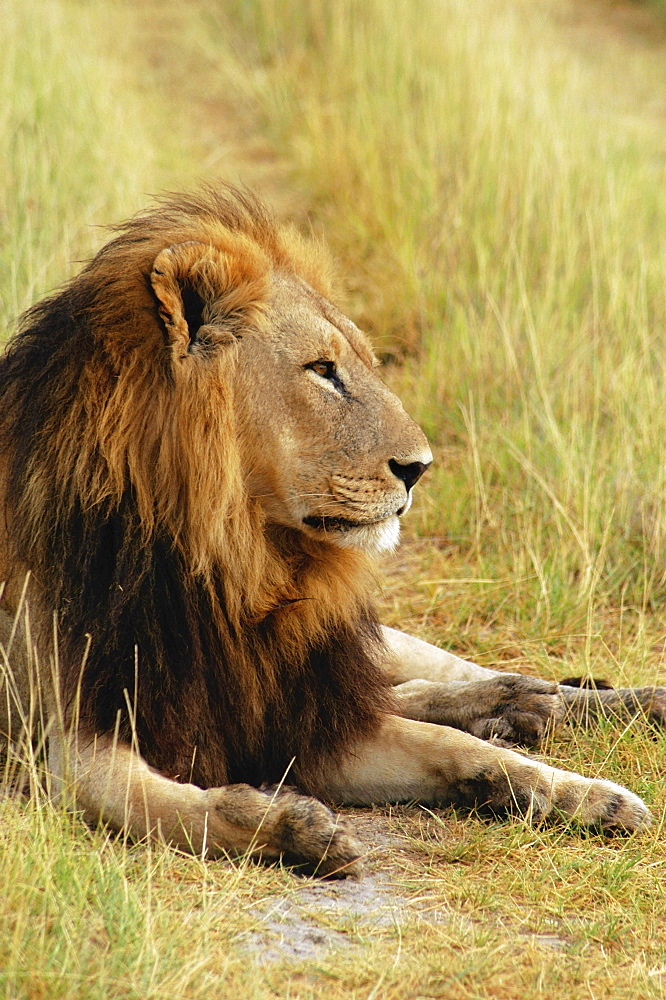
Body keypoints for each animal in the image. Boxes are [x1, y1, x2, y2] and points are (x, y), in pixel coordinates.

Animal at [0, 188, 660, 876]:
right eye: (322, 369)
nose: (420, 467)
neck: (234, 564)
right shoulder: (71, 739)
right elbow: (166, 805)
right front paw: (294, 826)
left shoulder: (308, 715)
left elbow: (454, 748)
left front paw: (590, 797)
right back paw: (513, 708)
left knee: (440, 677)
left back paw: (588, 701)